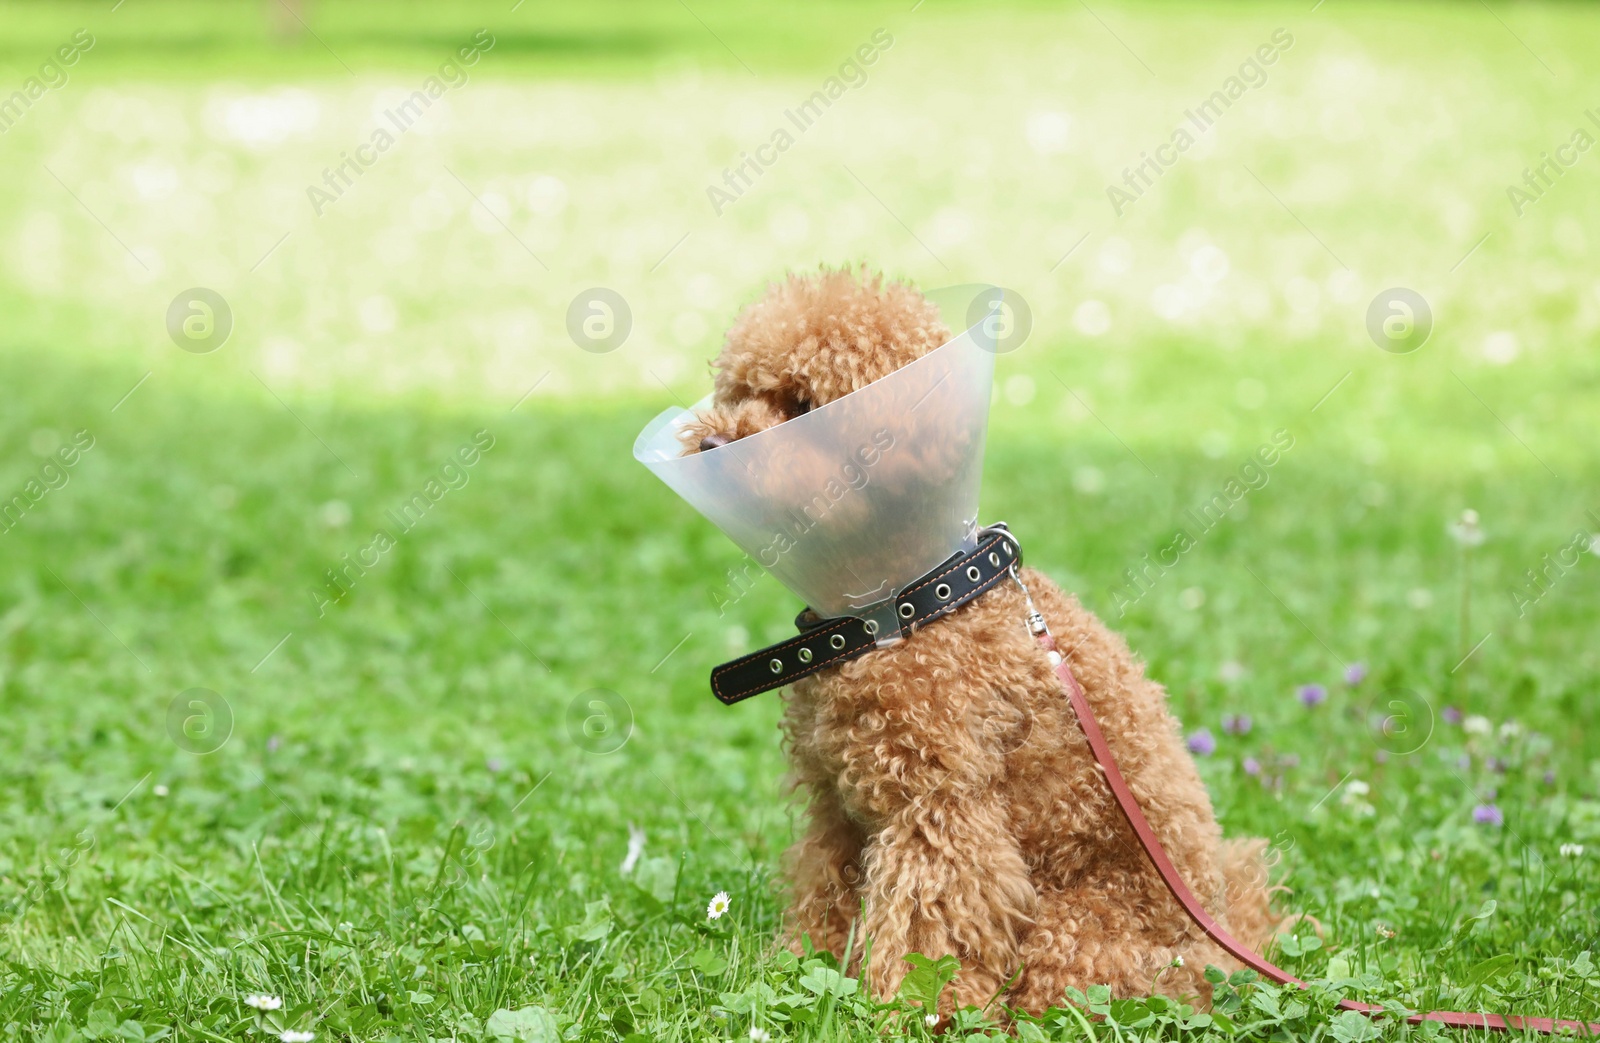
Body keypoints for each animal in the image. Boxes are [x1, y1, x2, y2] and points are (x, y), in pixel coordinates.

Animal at [681, 265, 1280, 1017]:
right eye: (739, 392)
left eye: (803, 405)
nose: (711, 447)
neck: (909, 599)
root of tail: (1225, 948)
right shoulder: (838, 811)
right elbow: (826, 892)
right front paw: (799, 970)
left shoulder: (939, 805)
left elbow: (931, 920)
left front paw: (917, 1007)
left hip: (1074, 936)